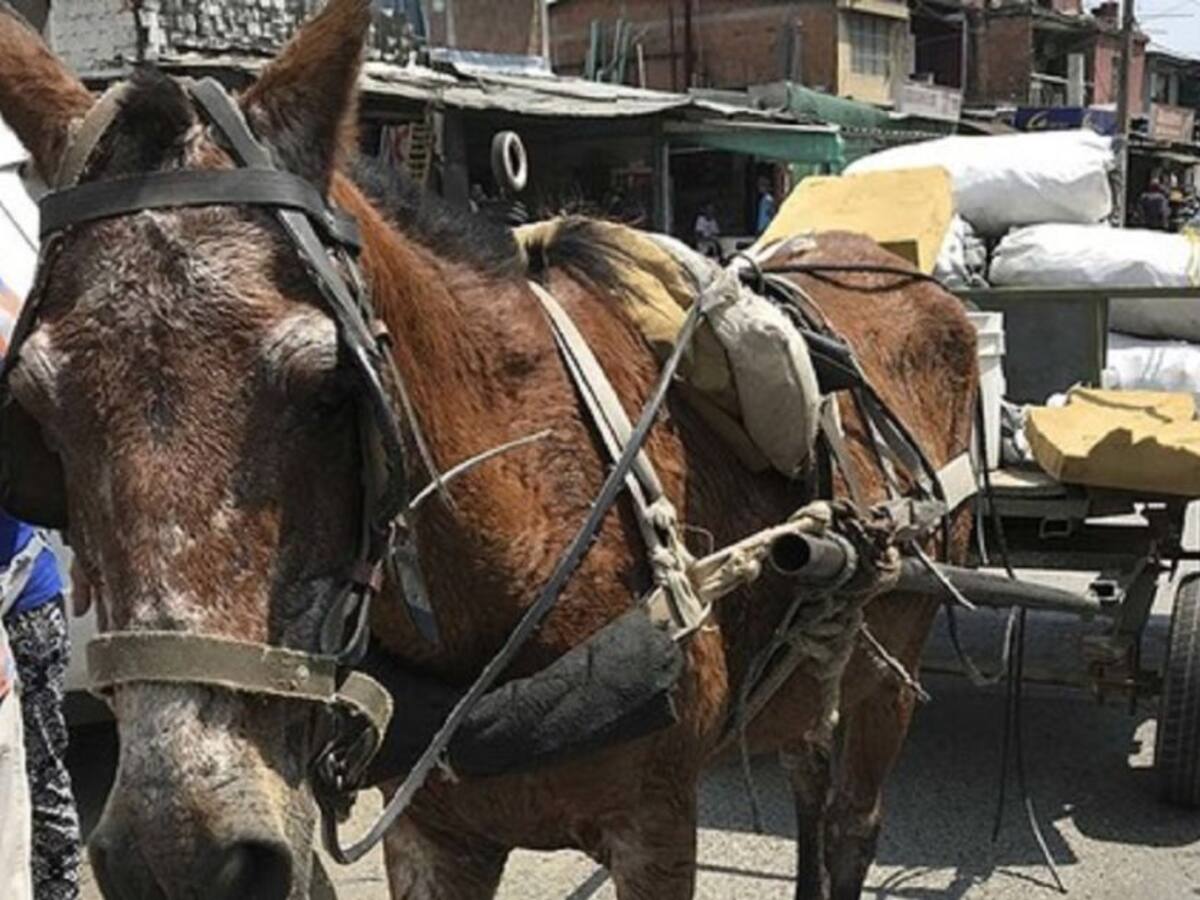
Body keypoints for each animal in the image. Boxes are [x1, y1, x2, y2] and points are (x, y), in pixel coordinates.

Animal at [0, 2, 977, 898]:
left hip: (897, 642)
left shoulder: (657, 826)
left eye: (330, 389)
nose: (179, 857)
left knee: (852, 820)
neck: (524, 524)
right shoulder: (432, 837)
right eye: (36, 413)